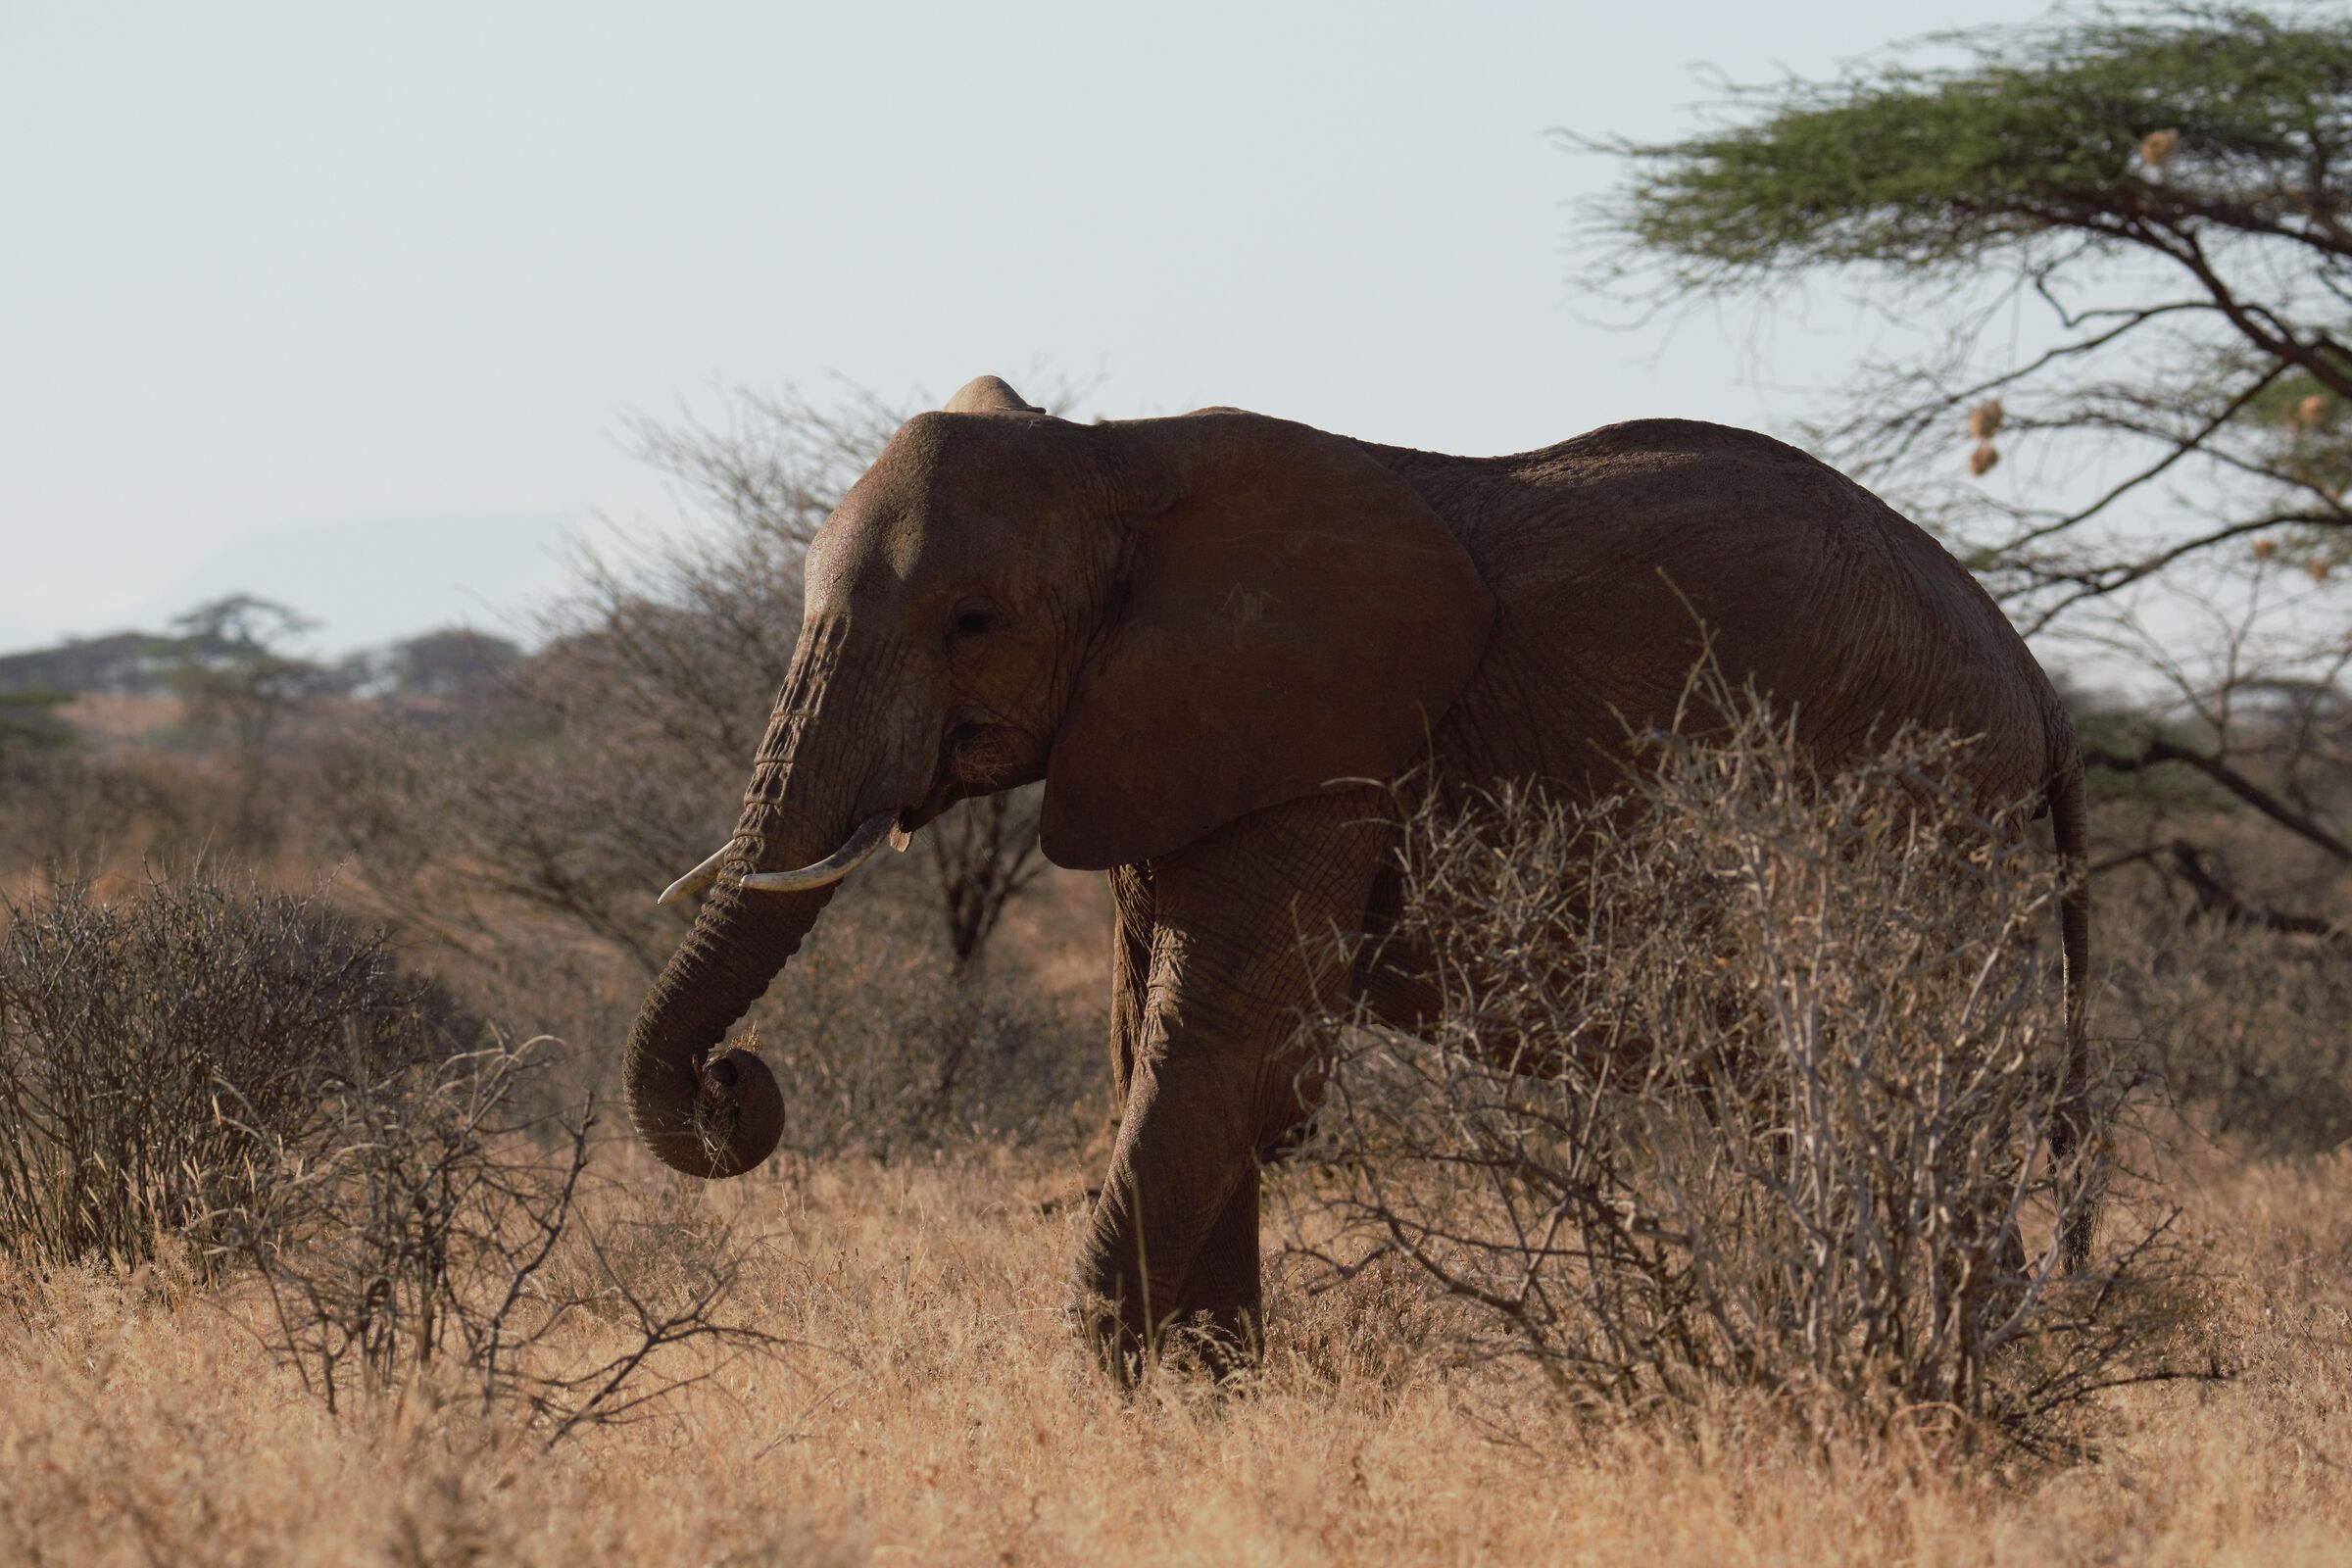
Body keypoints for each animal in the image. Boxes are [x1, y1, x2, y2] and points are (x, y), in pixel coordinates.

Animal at [626, 374, 2092, 1376]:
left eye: (971, 623)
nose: (734, 1081)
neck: (1118, 456)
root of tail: (2031, 673)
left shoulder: (1322, 748)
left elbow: (1221, 1050)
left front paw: (1107, 1400)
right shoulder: (1173, 735)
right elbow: (1157, 1047)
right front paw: (1207, 1401)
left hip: (1907, 810)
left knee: (1904, 1084)